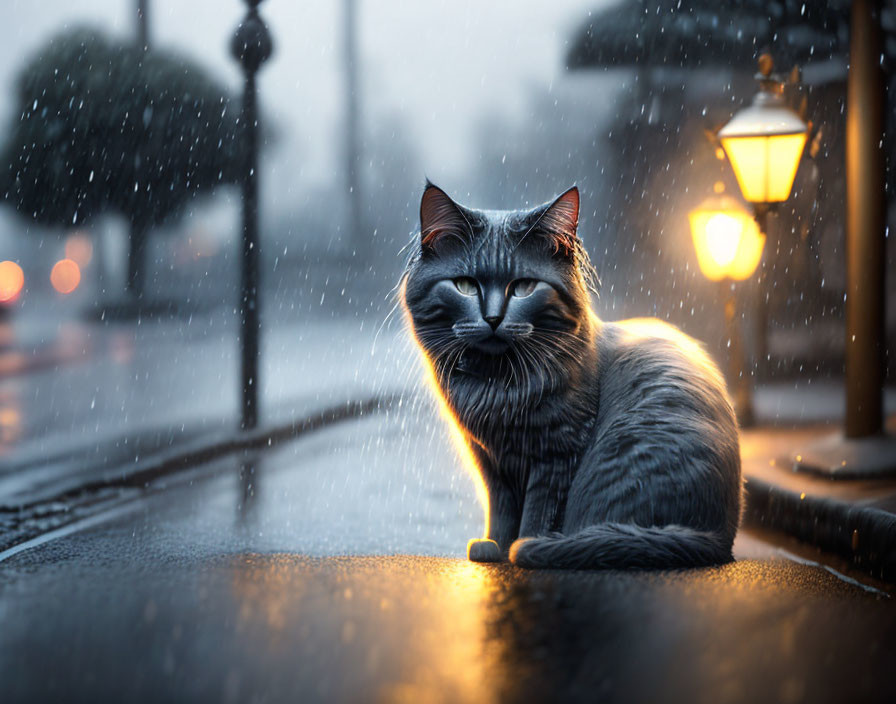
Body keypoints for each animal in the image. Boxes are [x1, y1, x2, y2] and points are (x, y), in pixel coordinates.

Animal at [404, 184, 744, 568]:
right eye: (464, 285)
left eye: (524, 287)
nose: (492, 319)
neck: (498, 386)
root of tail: (718, 539)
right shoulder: (490, 461)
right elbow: (501, 510)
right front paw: (495, 547)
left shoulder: (556, 455)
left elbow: (536, 513)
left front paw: (519, 547)